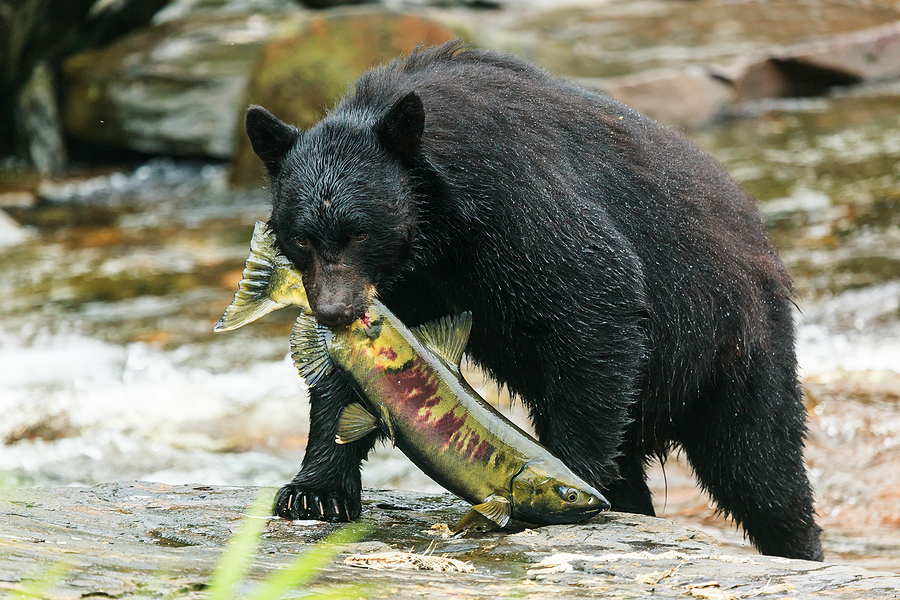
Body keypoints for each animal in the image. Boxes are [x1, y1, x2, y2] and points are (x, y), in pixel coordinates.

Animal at [243, 41, 823, 561]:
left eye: (360, 232)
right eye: (301, 238)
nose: (334, 311)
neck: (437, 230)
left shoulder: (517, 203)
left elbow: (596, 297)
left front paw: (568, 481)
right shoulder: (403, 287)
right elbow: (355, 376)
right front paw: (314, 493)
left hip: (731, 342)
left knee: (760, 464)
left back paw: (797, 544)